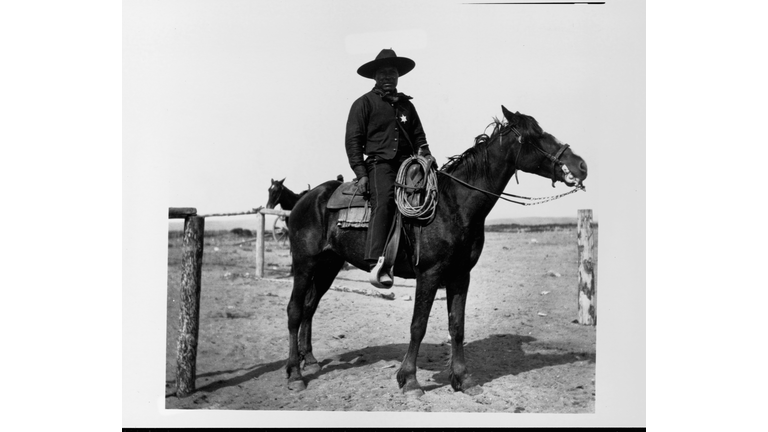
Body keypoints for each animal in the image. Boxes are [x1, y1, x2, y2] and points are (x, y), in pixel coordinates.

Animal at [282, 107, 588, 398]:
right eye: (536, 135)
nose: (581, 165)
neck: (454, 205)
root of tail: (306, 199)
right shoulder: (429, 274)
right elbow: (418, 325)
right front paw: (410, 380)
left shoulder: (460, 275)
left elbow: (457, 326)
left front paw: (463, 378)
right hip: (305, 264)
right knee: (295, 310)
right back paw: (295, 374)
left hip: (329, 265)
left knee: (310, 307)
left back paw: (310, 361)